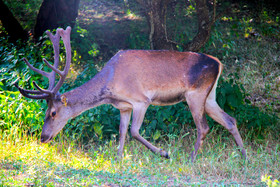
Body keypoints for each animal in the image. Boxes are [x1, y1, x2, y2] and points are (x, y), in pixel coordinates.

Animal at [15, 26, 247, 161]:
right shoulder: (123, 107)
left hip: (195, 95)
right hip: (210, 96)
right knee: (230, 120)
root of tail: (218, 64)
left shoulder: (141, 100)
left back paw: (191, 159)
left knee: (204, 127)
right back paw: (244, 157)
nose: (43, 137)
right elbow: (122, 131)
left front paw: (164, 153)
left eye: (53, 112)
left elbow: (134, 131)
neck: (110, 86)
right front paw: (118, 159)